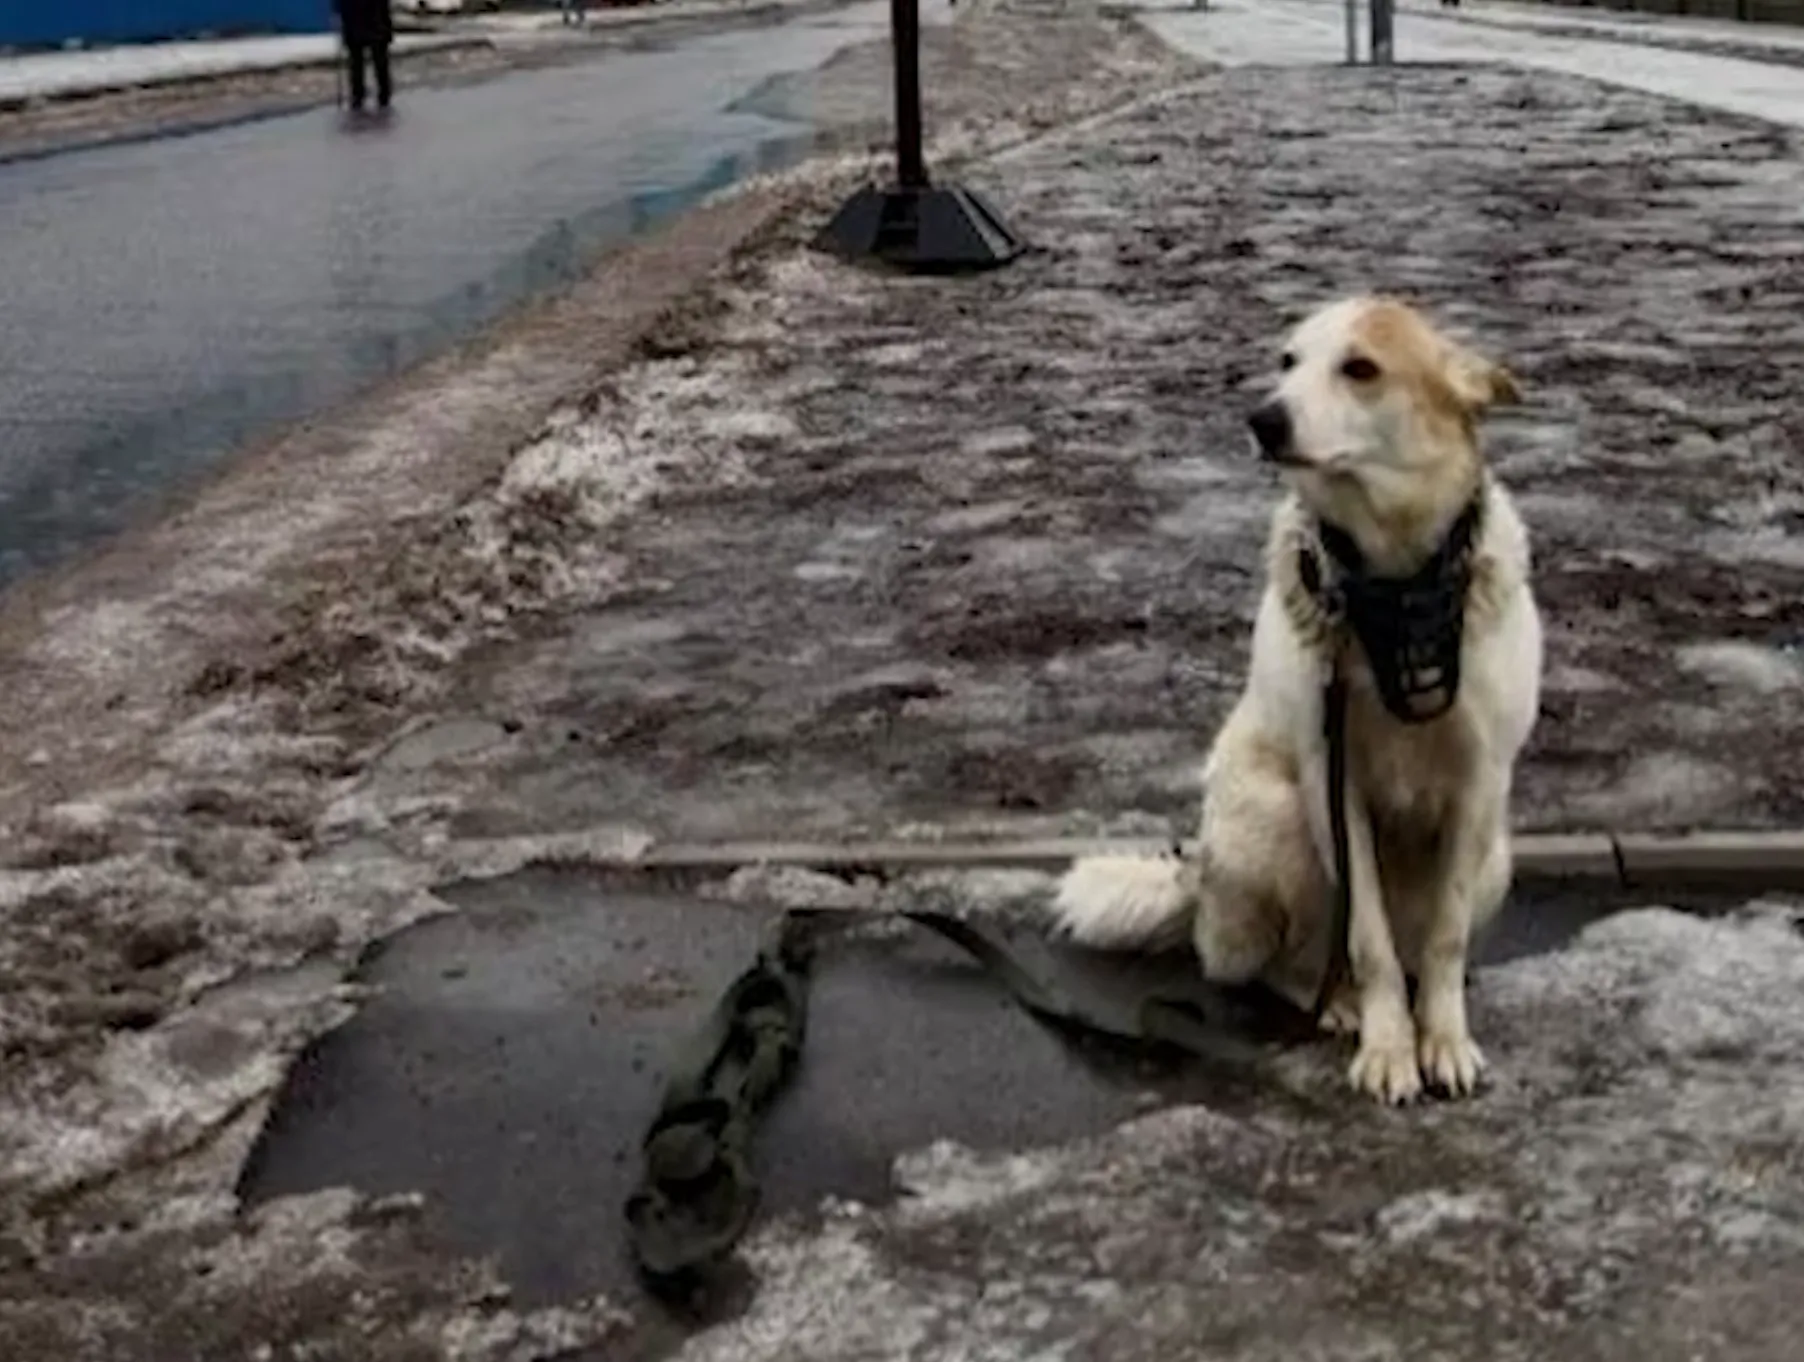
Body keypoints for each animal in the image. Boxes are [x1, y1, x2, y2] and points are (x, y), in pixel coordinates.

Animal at [1053, 297, 1544, 1111]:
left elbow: (1443, 939)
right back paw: (1336, 1003)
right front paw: (1388, 1047)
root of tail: (1195, 882)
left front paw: (1442, 1039)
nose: (1262, 418)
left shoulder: (1481, 783)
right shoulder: (1332, 781)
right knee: (1283, 965)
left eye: (1361, 368)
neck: (1394, 587)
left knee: (1415, 946)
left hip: (1496, 856)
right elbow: (1368, 941)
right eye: (1287, 361)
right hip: (1276, 819)